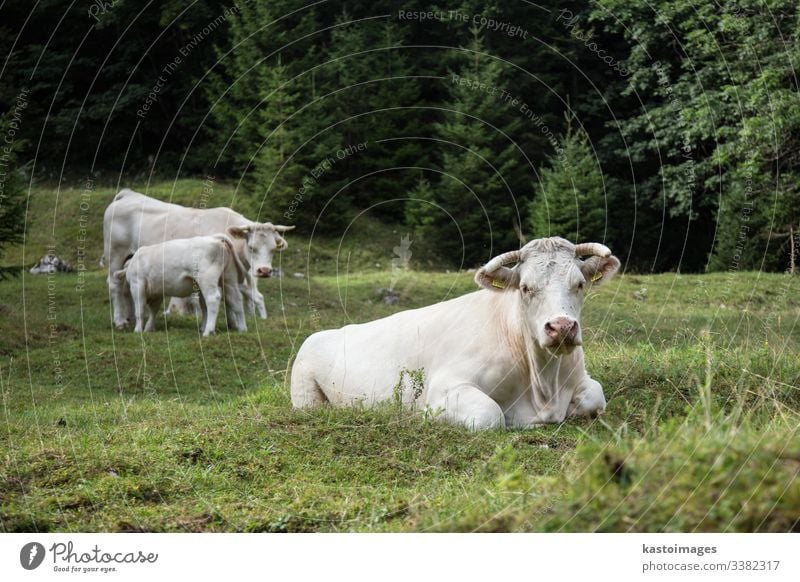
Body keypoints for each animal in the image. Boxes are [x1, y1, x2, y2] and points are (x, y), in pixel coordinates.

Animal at [114, 229, 253, 338]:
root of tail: (214, 238)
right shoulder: (157, 291)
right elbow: (153, 310)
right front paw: (149, 328)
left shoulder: (137, 285)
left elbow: (140, 310)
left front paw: (138, 330)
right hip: (229, 278)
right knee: (235, 299)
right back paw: (242, 329)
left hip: (207, 278)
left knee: (213, 299)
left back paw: (208, 331)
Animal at [290, 238, 620, 434]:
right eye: (526, 288)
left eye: (580, 284)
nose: (562, 327)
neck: (544, 386)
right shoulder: (445, 387)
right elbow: (490, 415)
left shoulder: (580, 376)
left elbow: (595, 396)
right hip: (304, 393)